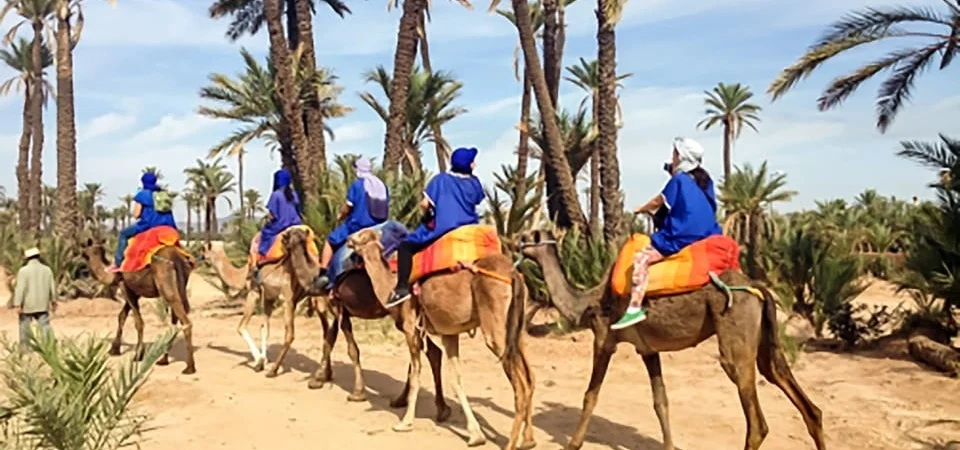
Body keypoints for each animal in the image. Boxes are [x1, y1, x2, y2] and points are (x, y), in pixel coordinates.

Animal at [84, 237, 199, 374]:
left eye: (86, 250)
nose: (83, 255)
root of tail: (176, 256)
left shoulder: (125, 287)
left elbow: (138, 322)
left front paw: (138, 355)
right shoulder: (134, 291)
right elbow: (122, 316)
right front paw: (114, 349)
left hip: (166, 285)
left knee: (185, 321)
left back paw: (189, 368)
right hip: (179, 285)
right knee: (176, 319)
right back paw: (163, 360)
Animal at [348, 230, 536, 448]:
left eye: (361, 235)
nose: (348, 240)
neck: (390, 288)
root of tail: (513, 274)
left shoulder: (411, 329)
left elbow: (416, 375)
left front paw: (405, 422)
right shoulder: (449, 333)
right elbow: (455, 380)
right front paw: (475, 434)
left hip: (496, 328)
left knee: (520, 386)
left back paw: (510, 444)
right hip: (517, 329)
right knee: (530, 378)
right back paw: (528, 440)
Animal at [516, 232, 824, 450]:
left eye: (527, 238)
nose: (514, 242)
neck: (588, 301)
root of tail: (758, 287)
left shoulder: (604, 338)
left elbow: (591, 395)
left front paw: (573, 443)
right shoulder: (647, 350)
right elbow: (660, 401)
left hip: (735, 332)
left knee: (756, 421)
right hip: (764, 340)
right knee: (801, 399)